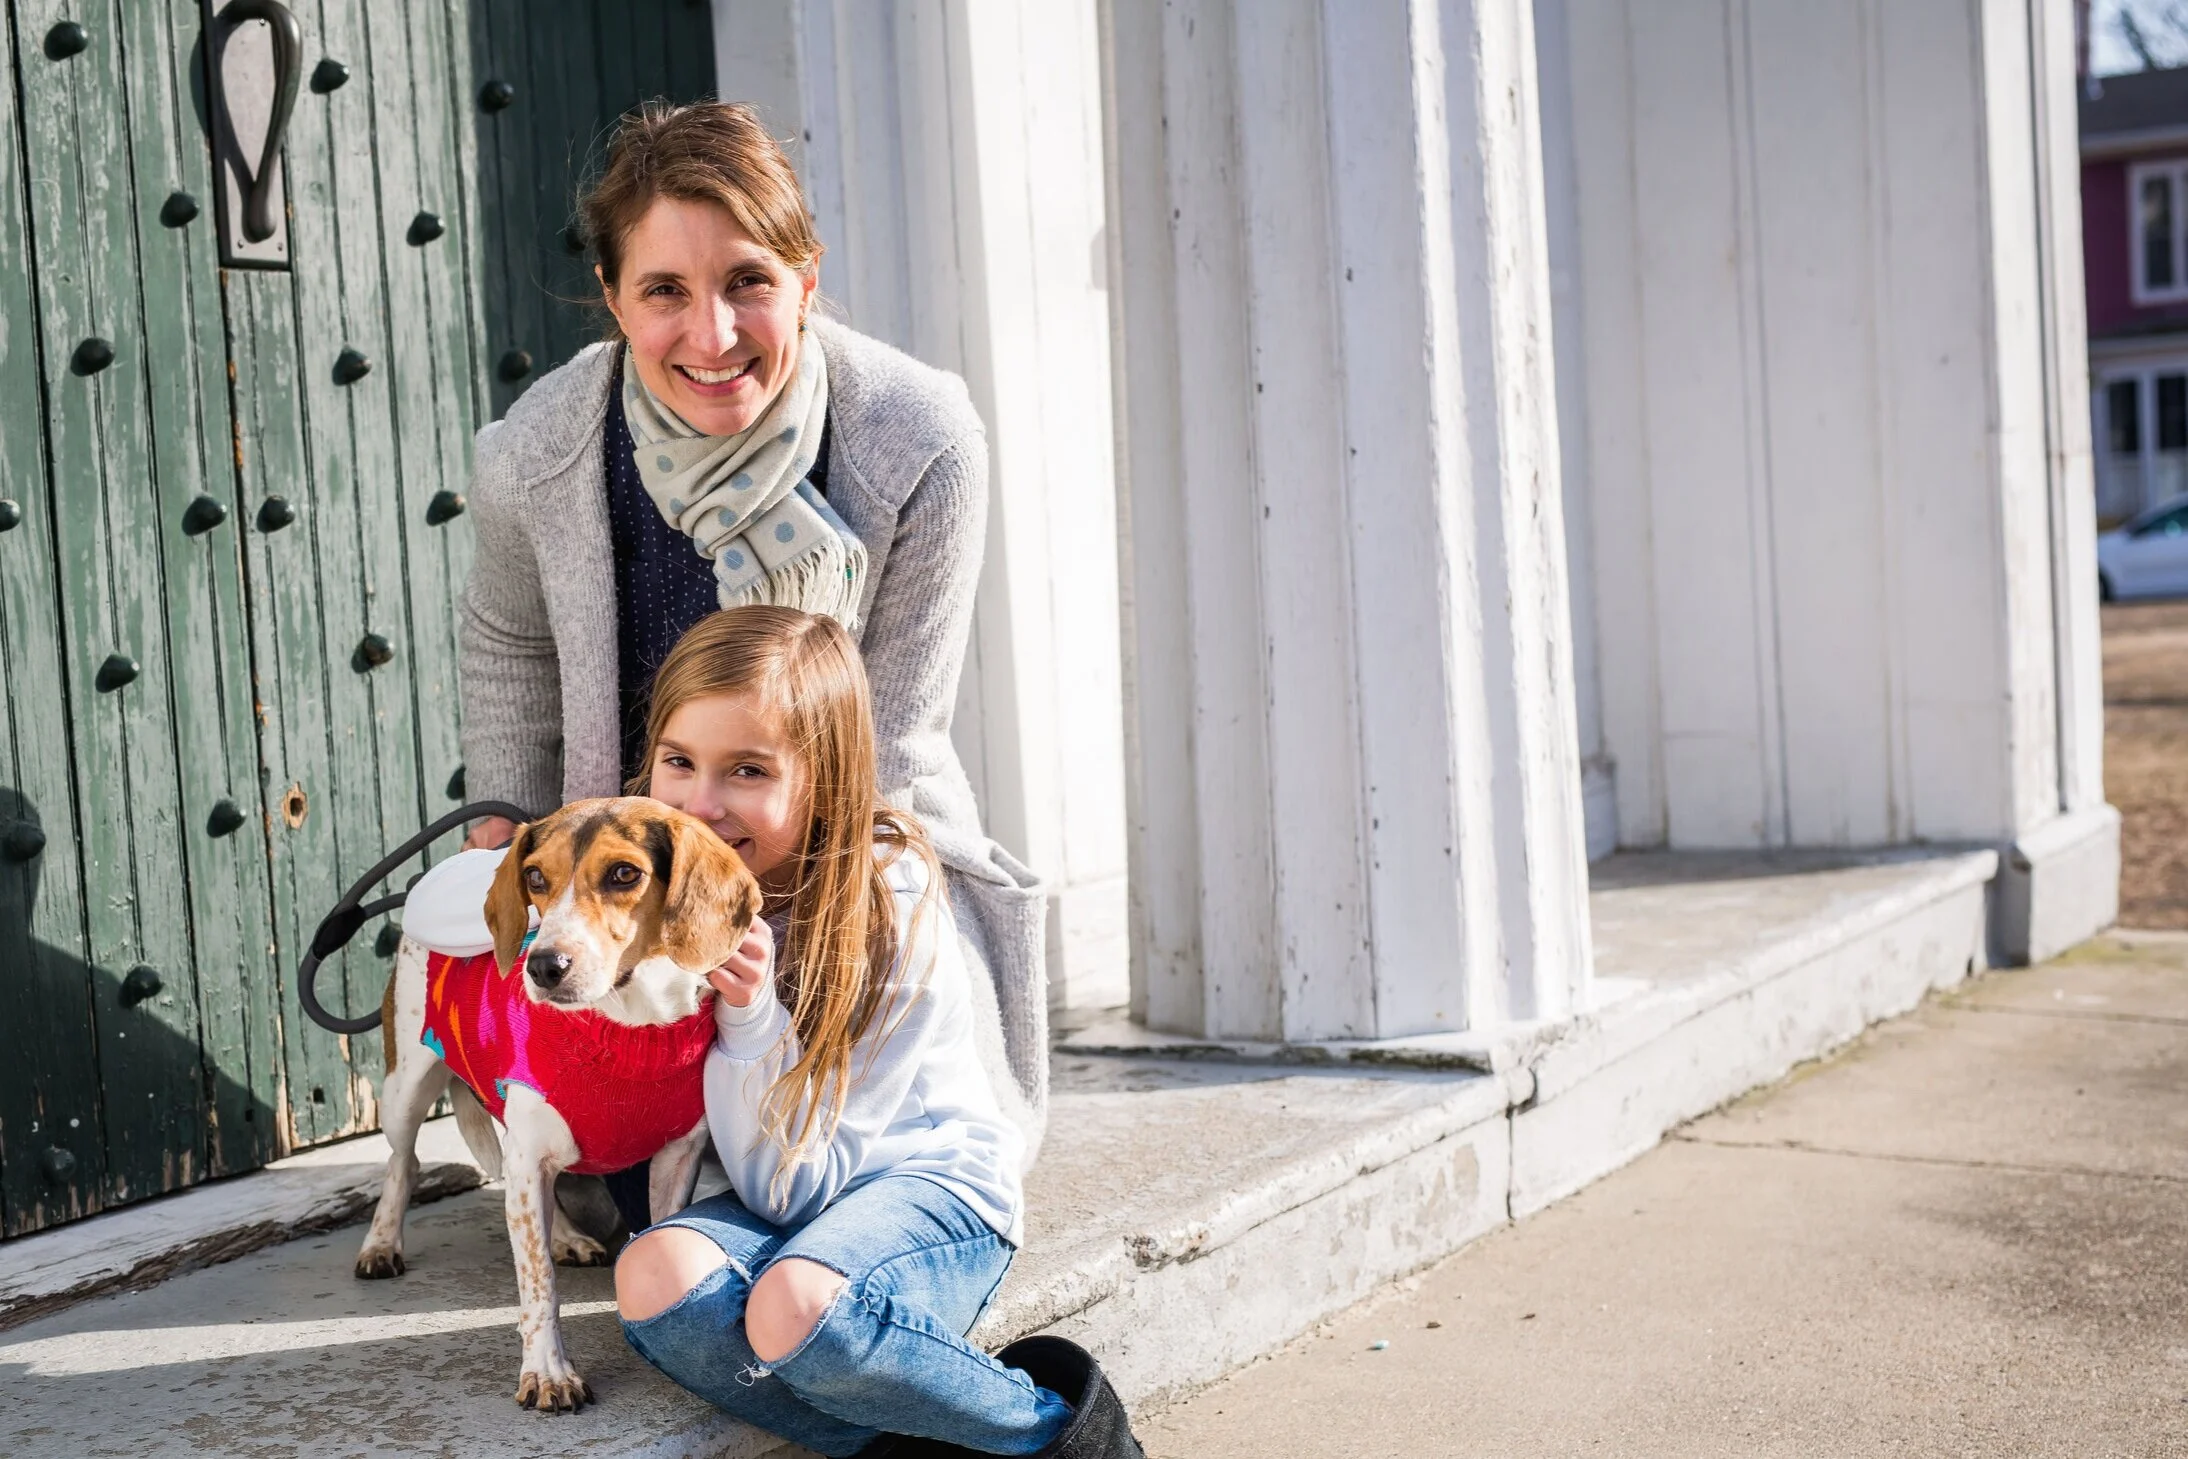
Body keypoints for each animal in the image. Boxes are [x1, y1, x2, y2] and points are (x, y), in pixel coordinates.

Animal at [353, 797, 760, 1412]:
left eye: (625, 873)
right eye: (535, 878)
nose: (542, 966)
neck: (631, 1022)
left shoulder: (676, 1157)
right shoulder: (527, 1163)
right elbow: (538, 1281)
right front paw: (547, 1372)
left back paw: (567, 1236)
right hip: (405, 1088)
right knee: (404, 1163)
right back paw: (381, 1243)